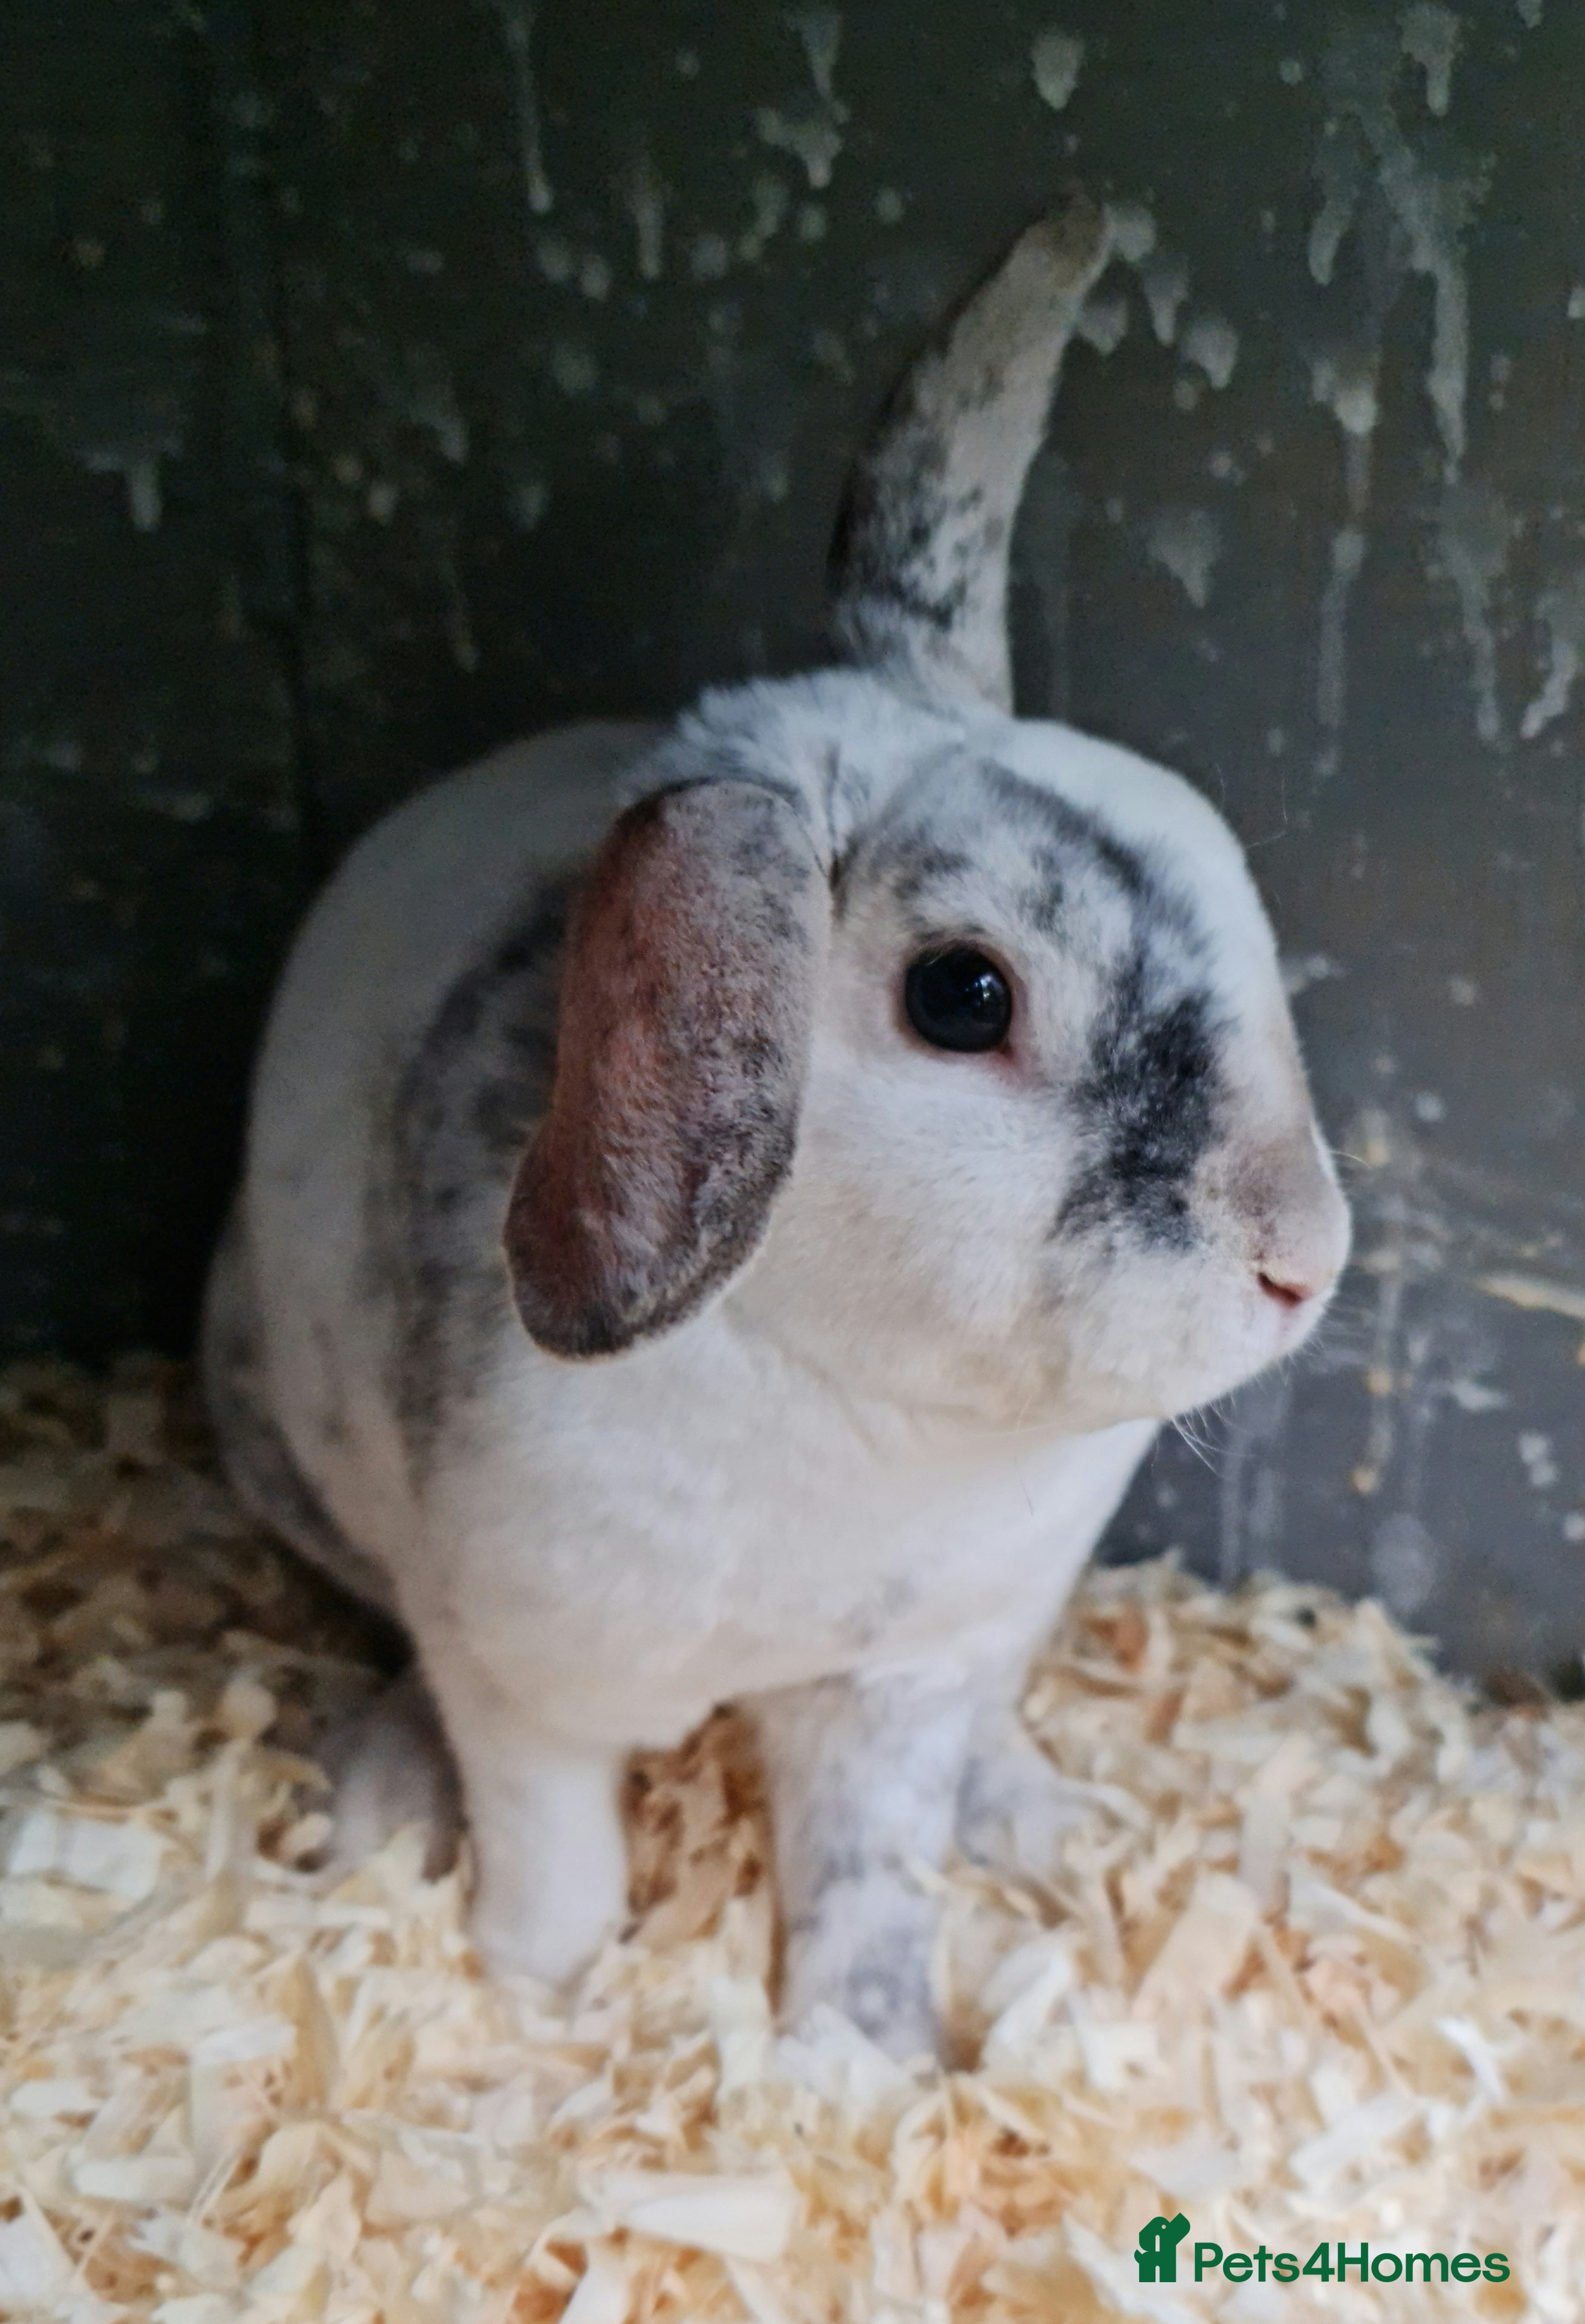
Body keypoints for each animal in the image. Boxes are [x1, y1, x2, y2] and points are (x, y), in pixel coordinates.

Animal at [202, 194, 1350, 2060]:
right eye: (963, 995)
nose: (1301, 1260)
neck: (860, 1414)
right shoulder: (525, 1685)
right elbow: (561, 1871)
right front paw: (536, 2004)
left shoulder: (896, 1683)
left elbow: (868, 1879)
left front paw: (859, 2064)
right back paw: (383, 1798)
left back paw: (1035, 1818)